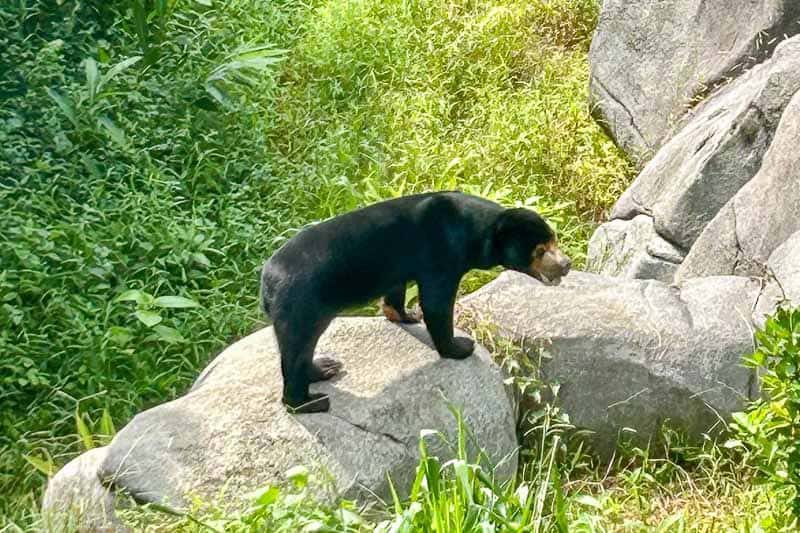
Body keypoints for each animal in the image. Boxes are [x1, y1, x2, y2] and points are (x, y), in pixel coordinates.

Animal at [260, 191, 571, 413]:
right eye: (539, 251)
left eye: (554, 241)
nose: (566, 264)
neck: (475, 232)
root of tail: (267, 281)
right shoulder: (443, 256)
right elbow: (437, 303)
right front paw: (460, 347)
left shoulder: (399, 264)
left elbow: (397, 290)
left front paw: (405, 315)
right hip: (302, 304)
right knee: (296, 348)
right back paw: (309, 402)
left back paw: (325, 367)